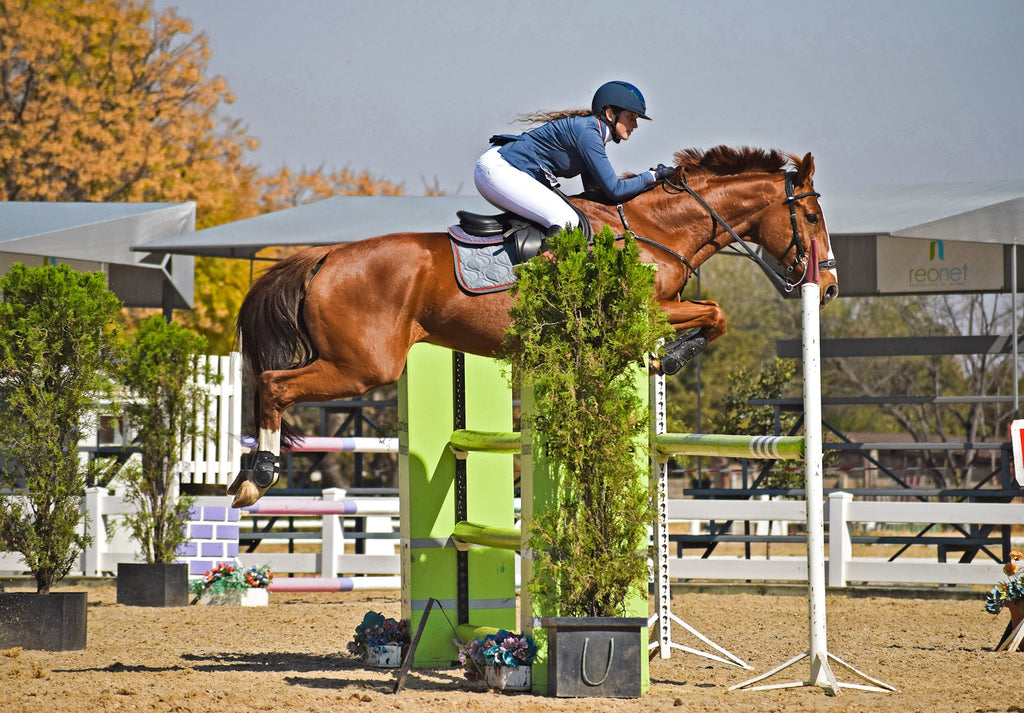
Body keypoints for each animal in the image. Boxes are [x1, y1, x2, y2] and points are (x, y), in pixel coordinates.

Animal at [228, 146, 835, 506]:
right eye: (809, 216)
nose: (826, 286)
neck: (651, 230)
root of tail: (324, 257)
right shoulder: (648, 308)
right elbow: (716, 313)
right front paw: (673, 356)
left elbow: (713, 314)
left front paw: (667, 356)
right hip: (363, 367)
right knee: (275, 386)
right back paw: (258, 477)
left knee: (271, 388)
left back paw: (246, 473)